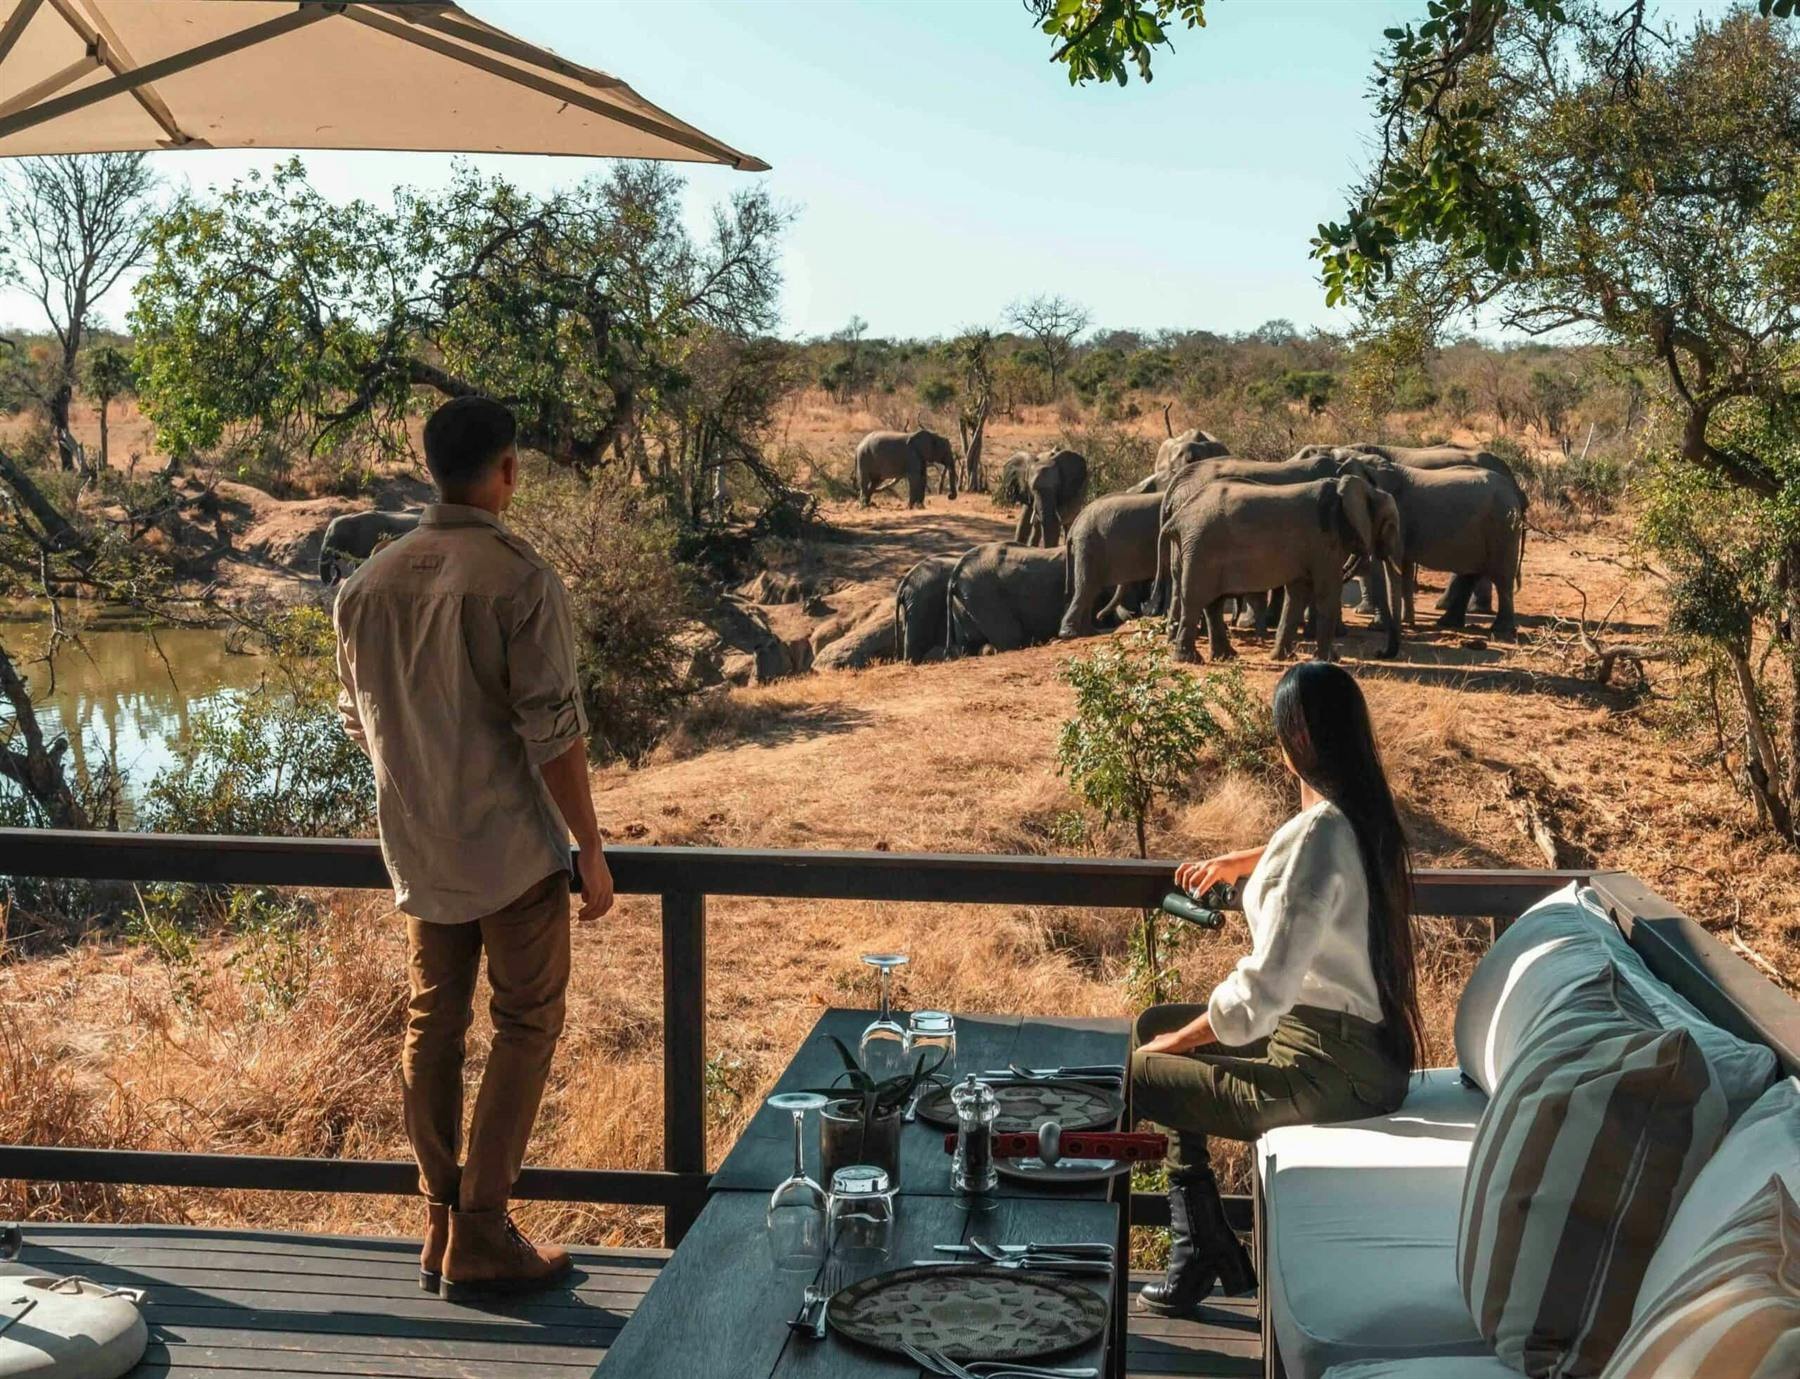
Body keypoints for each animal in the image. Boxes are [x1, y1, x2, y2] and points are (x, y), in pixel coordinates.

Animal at [1058, 491, 1164, 638]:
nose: (1099, 616)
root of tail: (1076, 522)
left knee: (1091, 589)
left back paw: (1089, 632)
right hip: (1088, 544)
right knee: (1086, 587)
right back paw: (1069, 633)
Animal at [1164, 473, 1403, 663]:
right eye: (1391, 526)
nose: (1379, 653)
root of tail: (1179, 516)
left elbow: (1297, 594)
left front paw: (1284, 657)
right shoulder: (1325, 542)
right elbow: (1327, 592)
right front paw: (1328, 660)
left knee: (1213, 604)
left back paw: (1226, 657)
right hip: (1201, 547)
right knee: (1195, 600)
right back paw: (1190, 660)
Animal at [1364, 461, 1527, 640]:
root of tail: (1513, 491)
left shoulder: (1397, 515)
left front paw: (1384, 626)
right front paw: (1403, 623)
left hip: (1502, 526)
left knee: (1502, 578)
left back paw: (1500, 631)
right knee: (1472, 574)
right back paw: (1447, 623)